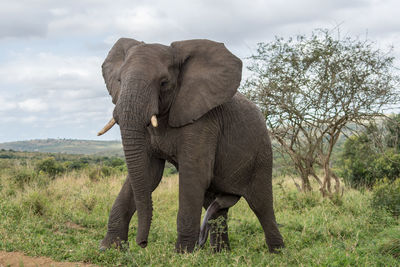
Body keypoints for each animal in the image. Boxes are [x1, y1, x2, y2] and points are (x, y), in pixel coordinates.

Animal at [97, 37, 284, 253]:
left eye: (164, 83)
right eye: (119, 81)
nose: (142, 243)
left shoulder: (204, 121)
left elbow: (194, 175)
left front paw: (182, 253)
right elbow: (149, 173)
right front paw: (108, 249)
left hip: (261, 153)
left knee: (261, 204)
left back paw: (277, 253)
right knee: (214, 205)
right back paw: (220, 254)